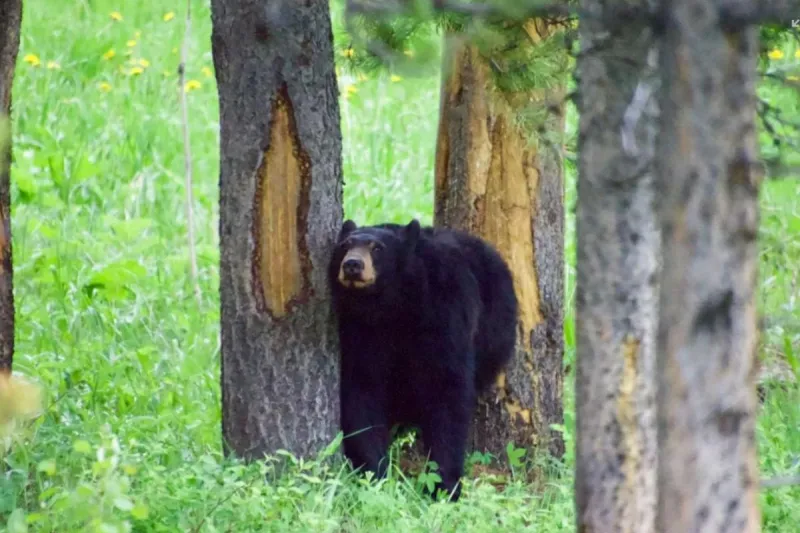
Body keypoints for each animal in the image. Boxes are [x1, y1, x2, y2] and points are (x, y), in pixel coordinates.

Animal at [327, 218, 518, 501]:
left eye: (377, 248)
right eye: (345, 245)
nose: (352, 264)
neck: (392, 304)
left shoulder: (445, 311)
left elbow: (447, 389)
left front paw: (445, 485)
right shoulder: (359, 331)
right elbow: (361, 390)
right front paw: (374, 473)